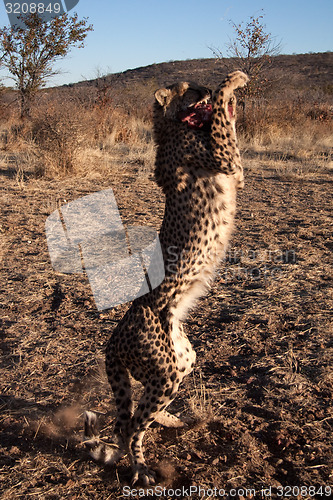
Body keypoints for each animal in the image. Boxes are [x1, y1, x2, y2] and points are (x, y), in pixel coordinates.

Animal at [84, 69, 248, 484]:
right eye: (187, 90)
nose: (203, 88)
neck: (176, 124)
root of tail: (113, 339)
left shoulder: (235, 169)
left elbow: (226, 121)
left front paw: (229, 90)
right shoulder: (227, 160)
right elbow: (223, 120)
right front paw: (232, 82)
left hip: (182, 359)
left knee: (138, 415)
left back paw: (174, 421)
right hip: (164, 372)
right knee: (128, 427)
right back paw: (141, 469)